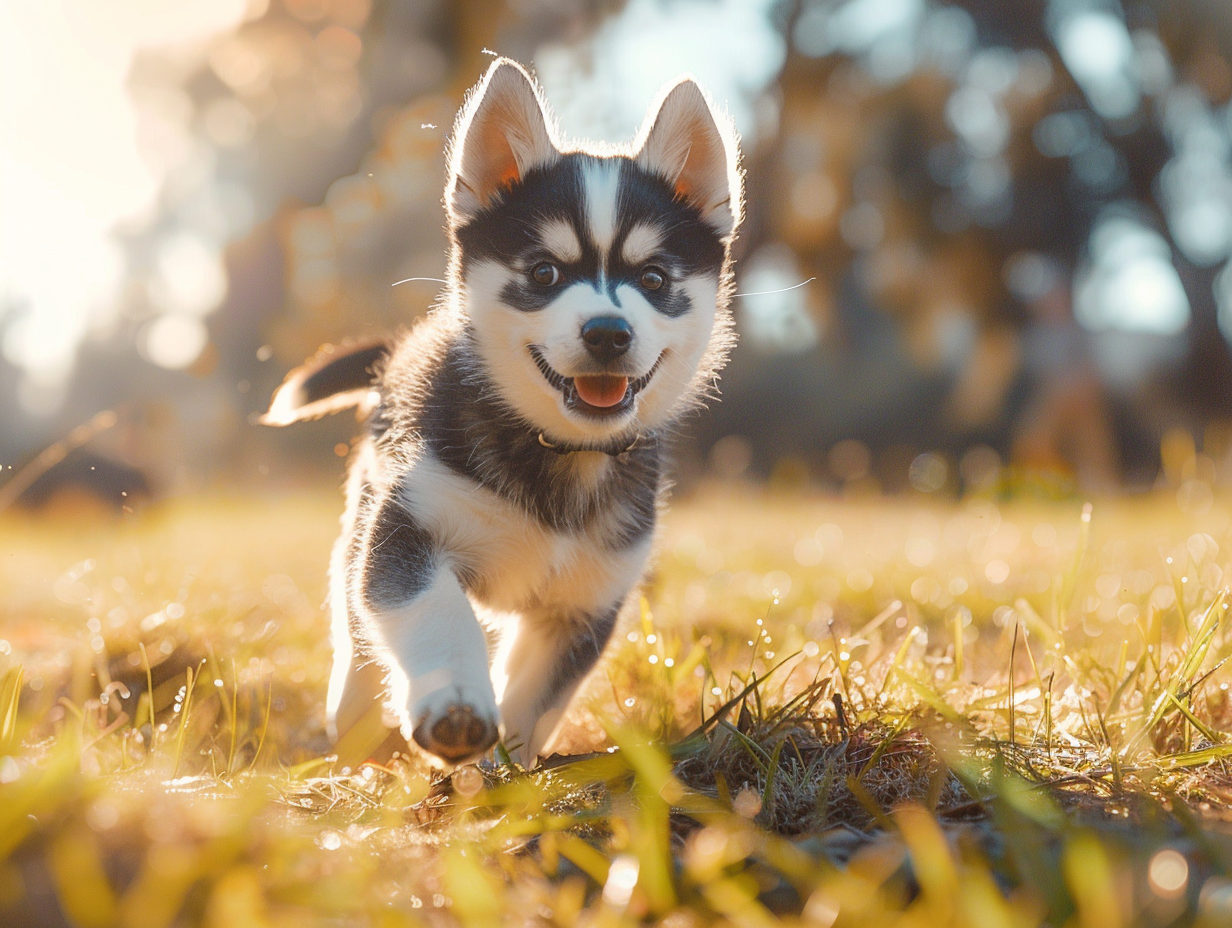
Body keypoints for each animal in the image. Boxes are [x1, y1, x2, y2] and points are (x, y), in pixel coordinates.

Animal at [264, 59, 739, 769]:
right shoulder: (409, 528)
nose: (607, 333)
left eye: (654, 279)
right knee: (354, 623)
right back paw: (354, 718)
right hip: (365, 514)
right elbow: (436, 612)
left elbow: (536, 697)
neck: (556, 451)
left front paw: (510, 766)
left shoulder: (585, 601)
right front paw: (455, 705)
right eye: (543, 273)